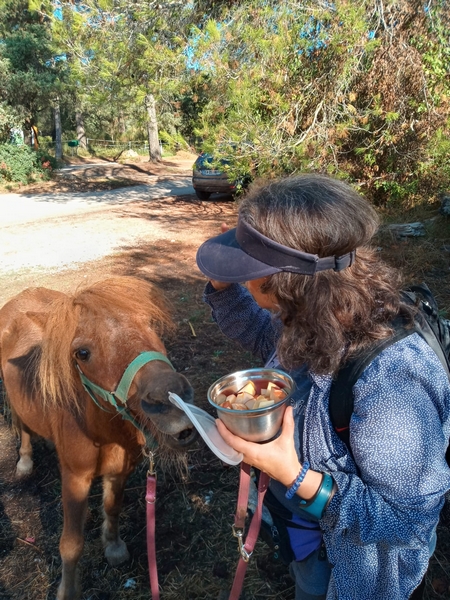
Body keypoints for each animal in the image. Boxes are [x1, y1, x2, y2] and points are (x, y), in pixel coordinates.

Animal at [0, 278, 197, 600]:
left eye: (150, 324)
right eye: (82, 353)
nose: (172, 401)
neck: (101, 432)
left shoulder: (119, 471)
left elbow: (113, 508)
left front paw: (114, 547)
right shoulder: (75, 479)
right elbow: (71, 544)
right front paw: (67, 591)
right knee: (23, 426)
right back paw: (25, 462)